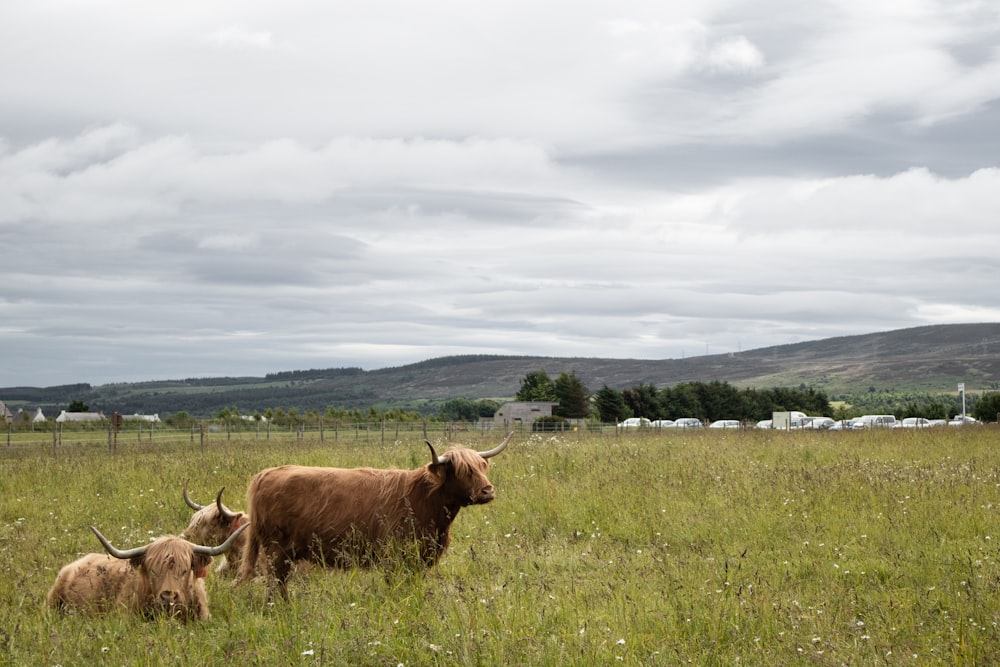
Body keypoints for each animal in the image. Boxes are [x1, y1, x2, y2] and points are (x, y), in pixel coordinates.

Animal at [238, 434, 512, 600]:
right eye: (464, 471)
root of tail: (266, 473)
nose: (488, 491)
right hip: (276, 550)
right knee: (277, 582)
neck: (424, 501)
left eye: (482, 467)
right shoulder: (394, 557)